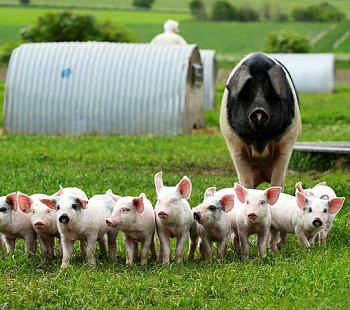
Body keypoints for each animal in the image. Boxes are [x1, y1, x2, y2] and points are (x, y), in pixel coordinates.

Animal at [221, 52, 300, 188]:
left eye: (270, 91)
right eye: (247, 90)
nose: (259, 110)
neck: (259, 140)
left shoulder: (287, 140)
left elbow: (277, 180)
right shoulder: (234, 142)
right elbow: (245, 181)